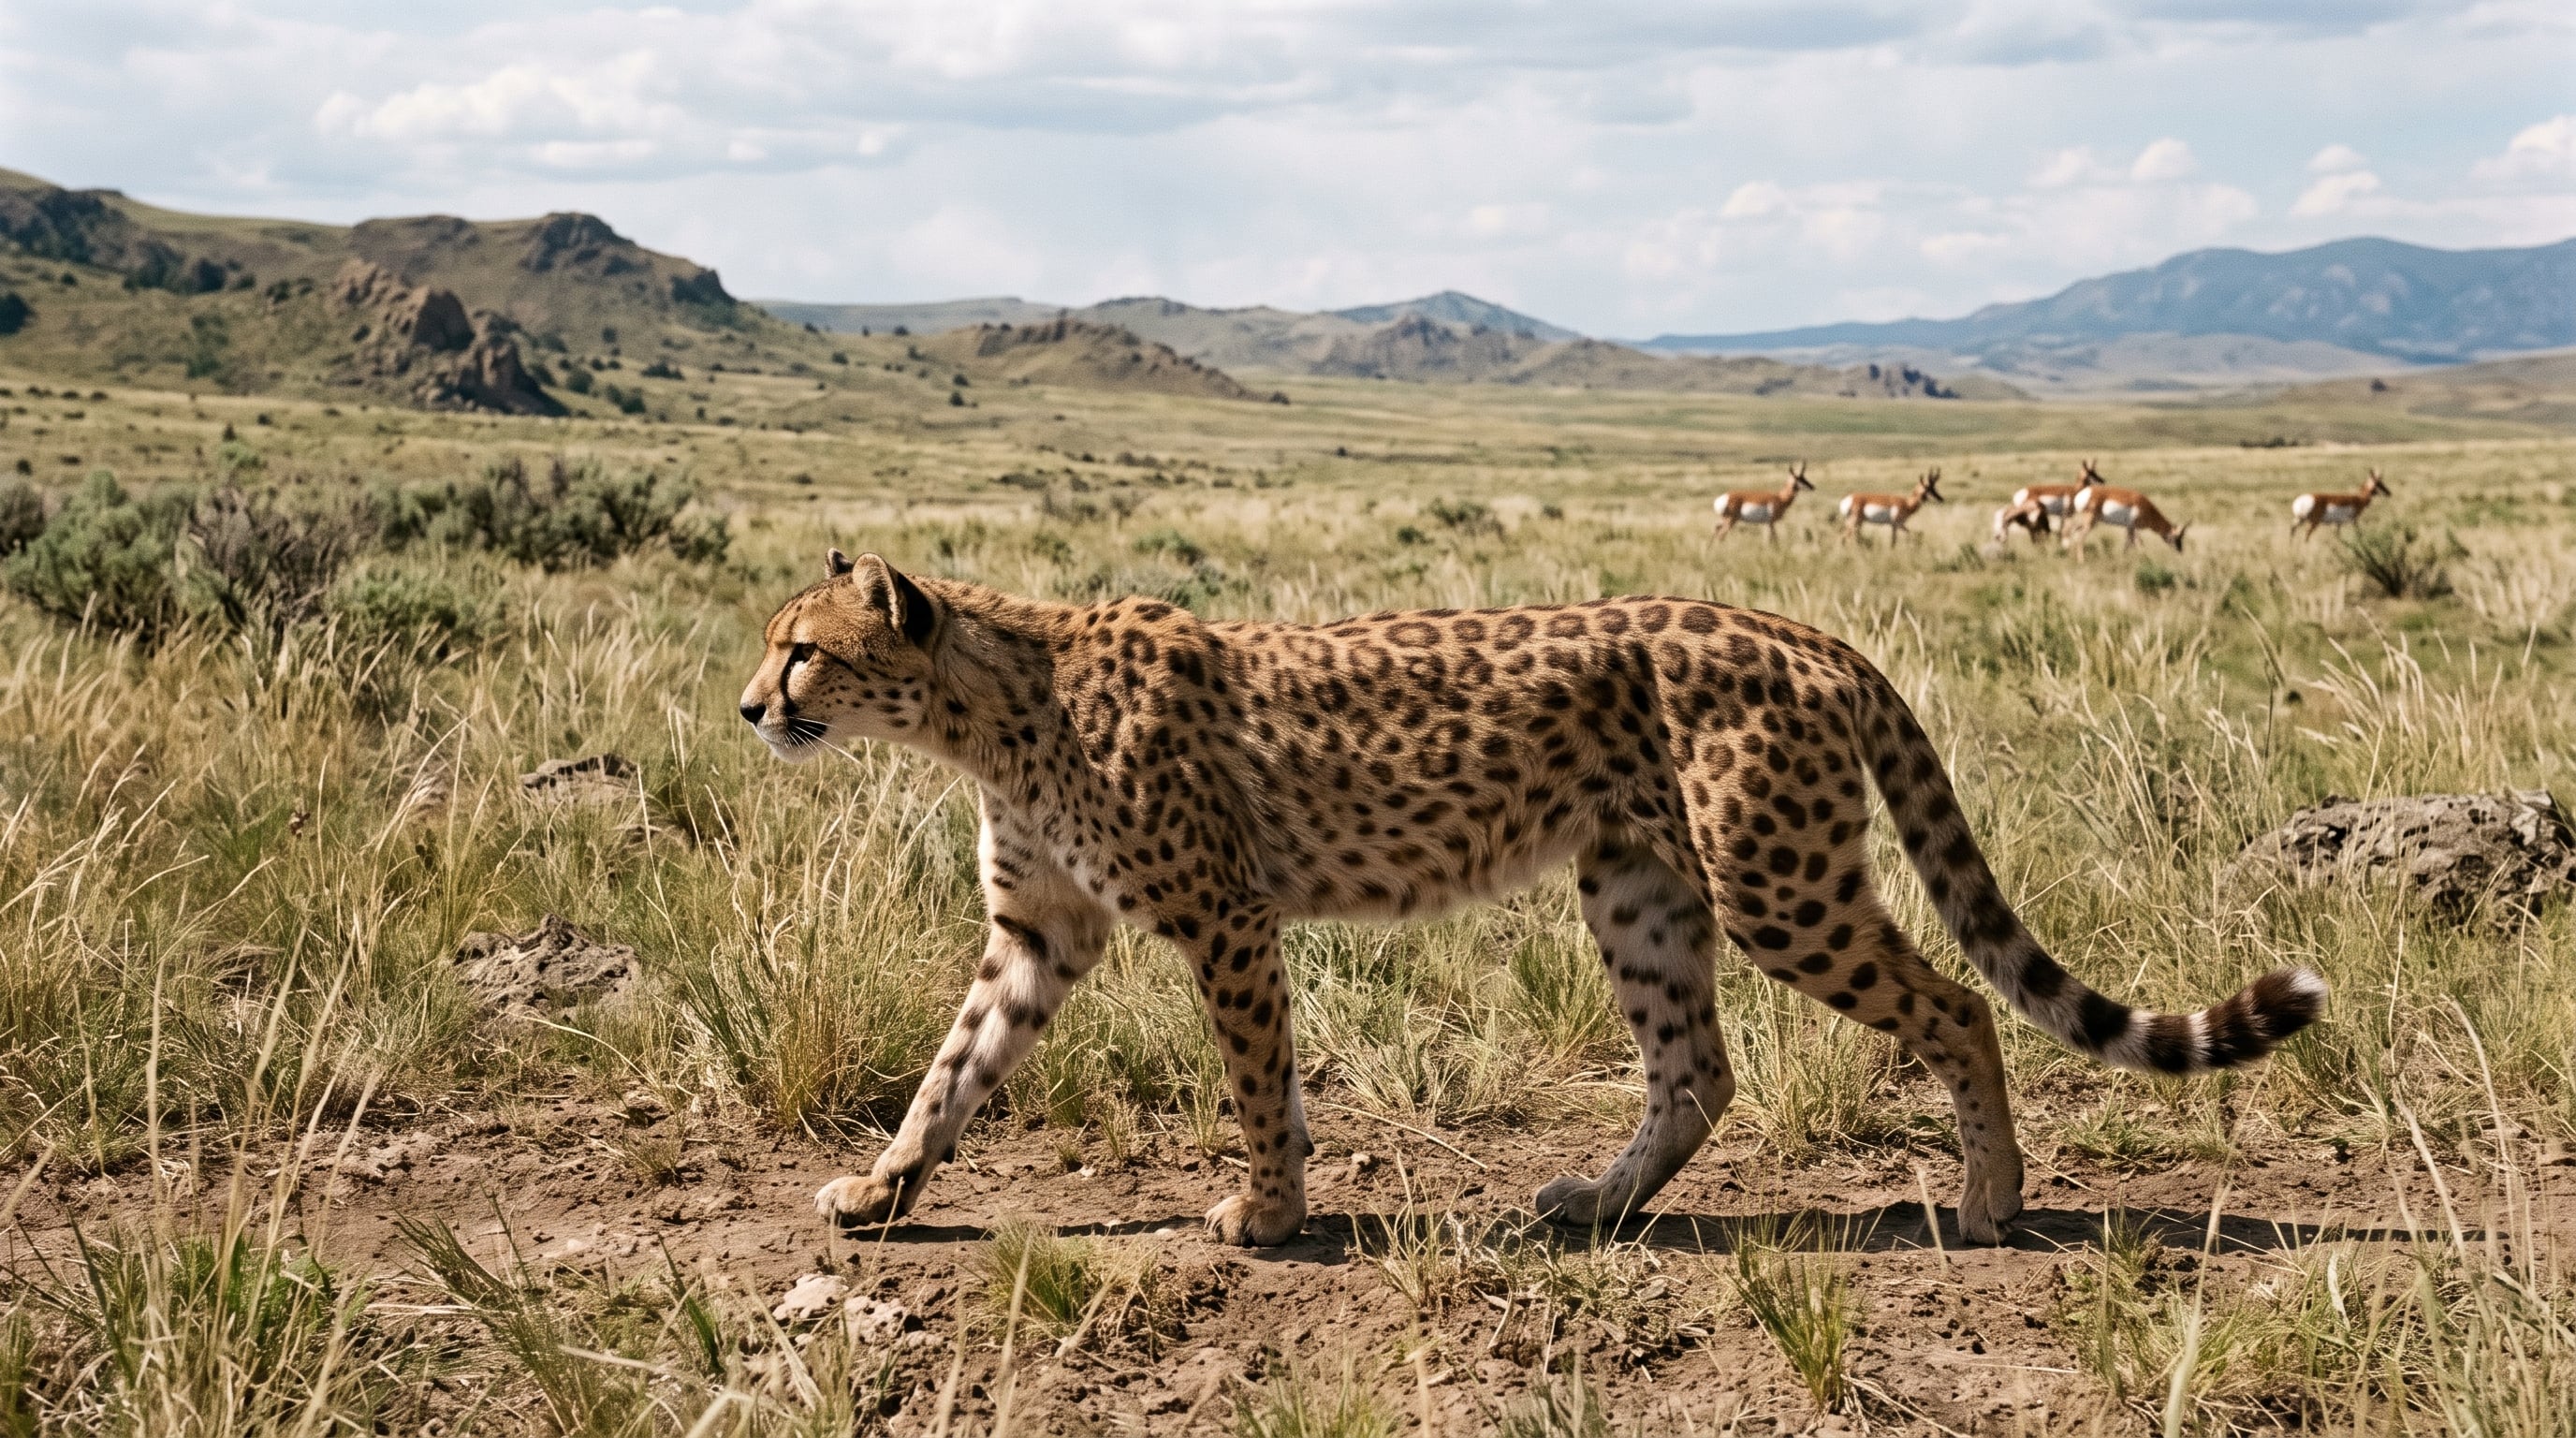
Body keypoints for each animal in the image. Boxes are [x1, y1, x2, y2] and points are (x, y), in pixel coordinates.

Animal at [738, 550, 2326, 1247]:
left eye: (805, 649)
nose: (752, 707)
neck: (989, 710)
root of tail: (1792, 622)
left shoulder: (1225, 917)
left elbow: (1257, 1079)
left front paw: (1268, 1211)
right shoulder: (1039, 935)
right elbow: (953, 1072)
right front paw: (882, 1187)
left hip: (1777, 884)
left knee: (1951, 1007)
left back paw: (1993, 1200)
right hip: (1637, 886)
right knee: (1699, 1068)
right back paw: (1594, 1202)